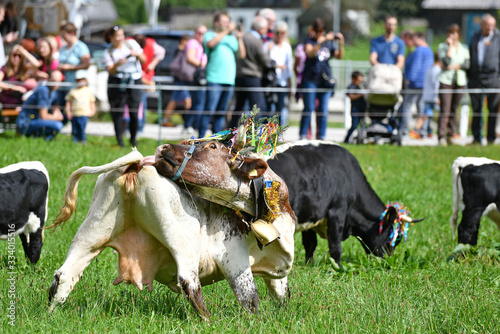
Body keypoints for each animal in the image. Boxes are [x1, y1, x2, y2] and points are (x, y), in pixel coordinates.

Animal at [47, 150, 292, 320]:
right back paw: (208, 320)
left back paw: (51, 312)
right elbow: (249, 295)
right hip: (182, 238)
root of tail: (137, 165)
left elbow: (280, 289)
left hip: (92, 232)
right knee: (188, 281)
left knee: (64, 275)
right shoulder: (233, 256)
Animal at [266, 141, 422, 266]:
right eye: (394, 239)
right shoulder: (337, 212)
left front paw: (309, 265)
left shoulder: (310, 215)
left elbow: (310, 244)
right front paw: (338, 268)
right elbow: (335, 247)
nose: (388, 262)